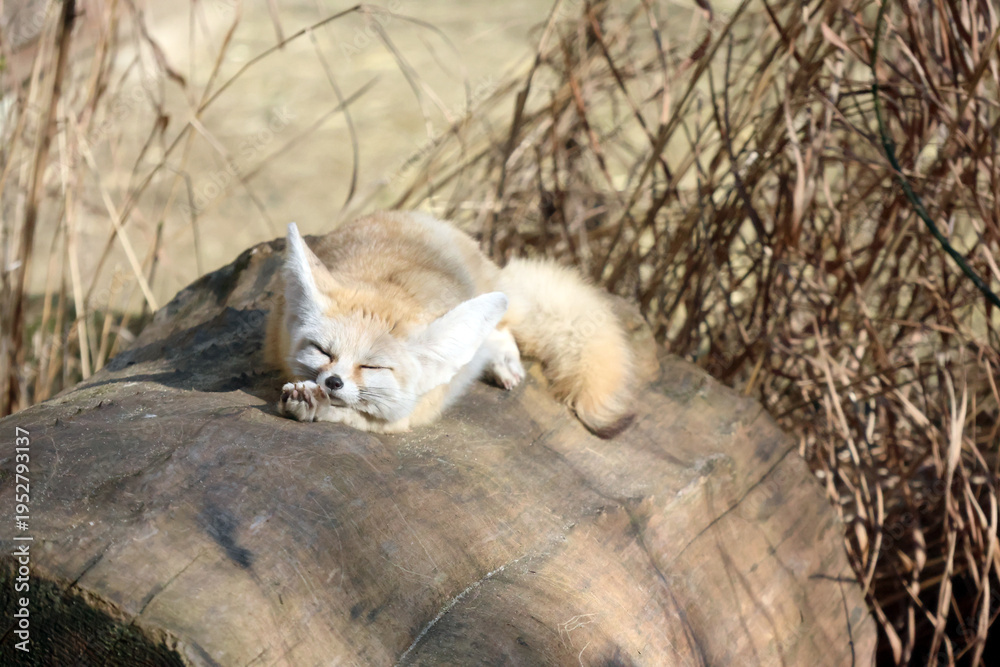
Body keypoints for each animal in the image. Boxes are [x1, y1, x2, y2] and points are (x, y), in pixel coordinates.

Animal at [265, 211, 635, 437]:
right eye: (323, 351)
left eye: (372, 367)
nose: (334, 382)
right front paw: (308, 398)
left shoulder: (407, 416)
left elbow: (356, 415)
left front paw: (317, 405)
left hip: (492, 301)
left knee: (501, 329)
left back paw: (502, 362)